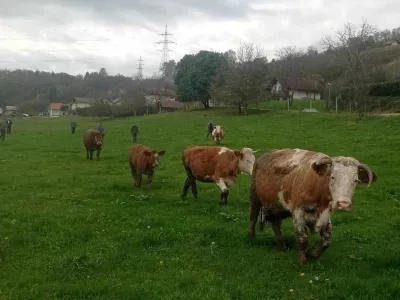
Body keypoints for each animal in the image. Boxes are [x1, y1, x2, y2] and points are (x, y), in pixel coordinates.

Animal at [248, 149, 376, 264]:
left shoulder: (326, 215)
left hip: (277, 207)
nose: (343, 204)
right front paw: (302, 261)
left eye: (355, 180)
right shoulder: (298, 211)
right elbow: (303, 238)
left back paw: (281, 247)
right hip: (254, 197)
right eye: (332, 177)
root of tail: (264, 155)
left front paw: (313, 253)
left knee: (276, 225)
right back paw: (252, 238)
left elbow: (327, 239)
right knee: (253, 218)